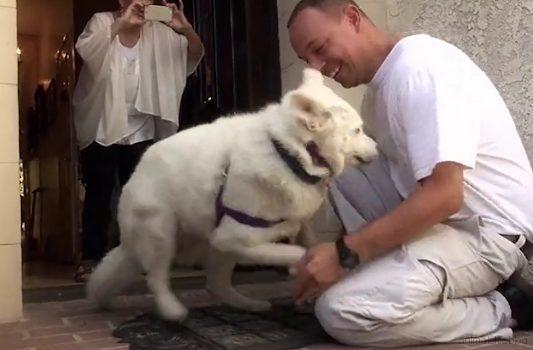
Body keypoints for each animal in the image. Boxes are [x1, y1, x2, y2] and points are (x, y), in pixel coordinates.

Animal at [87, 67, 376, 320]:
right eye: (358, 130)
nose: (378, 148)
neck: (289, 153)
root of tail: (137, 171)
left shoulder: (255, 233)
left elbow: (307, 241)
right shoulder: (235, 236)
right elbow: (300, 253)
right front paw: (309, 267)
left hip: (211, 242)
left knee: (215, 284)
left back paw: (248, 304)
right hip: (163, 232)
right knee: (157, 277)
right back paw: (172, 310)